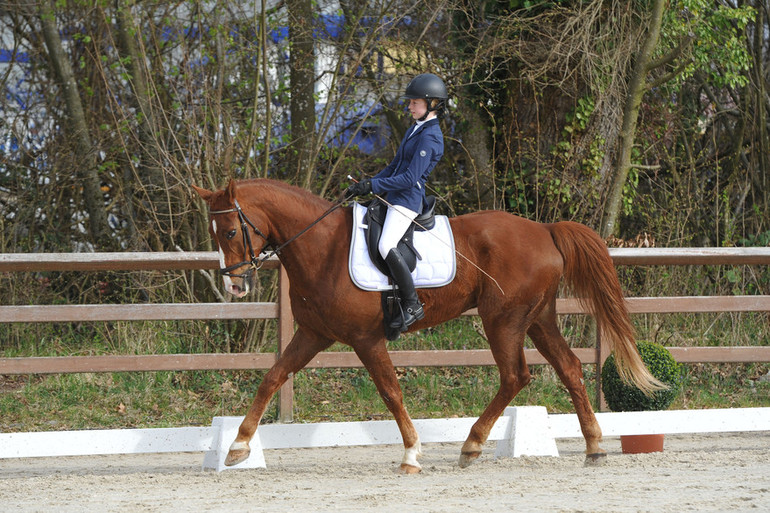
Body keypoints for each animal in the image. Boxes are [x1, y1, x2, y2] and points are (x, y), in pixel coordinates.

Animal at [190, 179, 656, 472]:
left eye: (229, 231)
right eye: (213, 232)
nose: (234, 285)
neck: (320, 247)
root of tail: (544, 229)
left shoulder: (366, 339)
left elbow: (391, 393)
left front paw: (412, 455)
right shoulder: (313, 334)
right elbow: (272, 378)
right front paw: (237, 446)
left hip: (503, 320)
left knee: (514, 376)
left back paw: (472, 445)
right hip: (537, 319)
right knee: (570, 369)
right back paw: (593, 447)